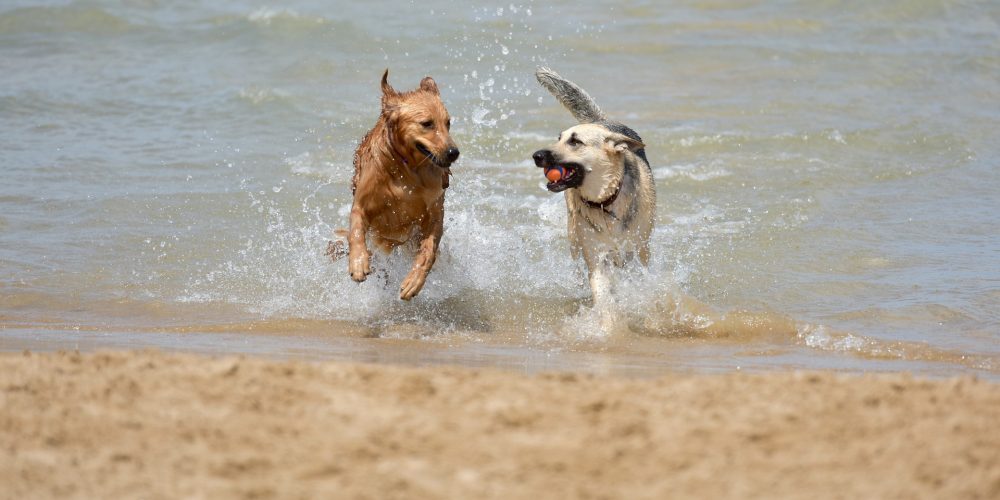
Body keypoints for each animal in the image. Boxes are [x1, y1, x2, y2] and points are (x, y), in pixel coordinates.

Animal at [340, 68, 458, 298]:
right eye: (427, 123)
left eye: (448, 123)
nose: (454, 152)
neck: (407, 169)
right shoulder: (362, 204)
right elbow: (356, 230)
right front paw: (358, 263)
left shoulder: (434, 213)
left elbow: (428, 251)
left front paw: (414, 280)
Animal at [532, 68, 656, 306]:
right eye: (558, 138)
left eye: (575, 142)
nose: (537, 156)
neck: (605, 201)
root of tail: (601, 122)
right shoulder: (596, 256)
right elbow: (603, 294)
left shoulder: (637, 251)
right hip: (573, 236)